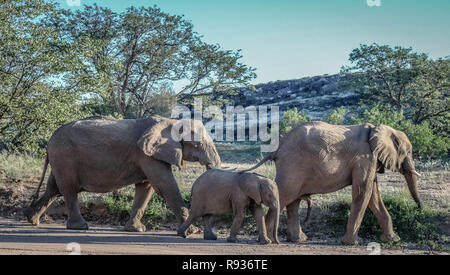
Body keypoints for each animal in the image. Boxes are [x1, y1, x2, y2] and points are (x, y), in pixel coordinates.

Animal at [25, 116, 221, 233]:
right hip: (64, 157)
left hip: (60, 160)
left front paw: (136, 230)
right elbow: (164, 185)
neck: (171, 121)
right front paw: (192, 232)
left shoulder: (148, 155)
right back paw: (80, 227)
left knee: (54, 188)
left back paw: (32, 220)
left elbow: (146, 189)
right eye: (198, 144)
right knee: (69, 189)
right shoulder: (146, 154)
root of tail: (49, 141)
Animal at [246, 123, 422, 246]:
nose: (419, 208)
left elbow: (373, 194)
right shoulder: (364, 157)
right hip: (292, 166)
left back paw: (297, 240)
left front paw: (393, 240)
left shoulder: (370, 159)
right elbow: (363, 191)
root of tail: (276, 149)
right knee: (284, 195)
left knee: (293, 200)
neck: (377, 129)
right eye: (408, 152)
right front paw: (353, 243)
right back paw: (267, 240)